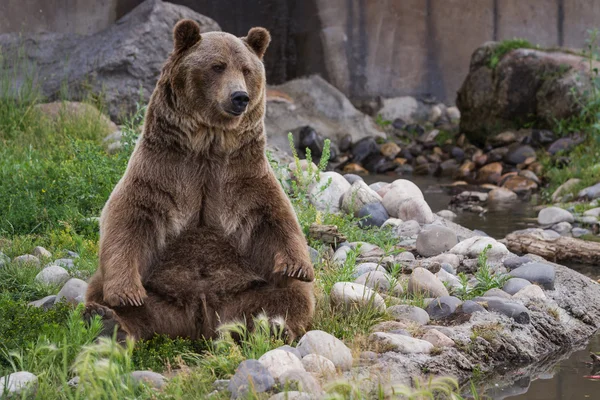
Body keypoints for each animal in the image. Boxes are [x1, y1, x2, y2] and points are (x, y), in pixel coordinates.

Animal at [86, 19, 316, 340]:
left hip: (245, 290)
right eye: (217, 66)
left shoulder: (243, 176)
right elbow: (128, 219)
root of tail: (199, 318)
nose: (239, 97)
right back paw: (107, 320)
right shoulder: (161, 172)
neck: (208, 144)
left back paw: (273, 326)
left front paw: (298, 267)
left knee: (291, 296)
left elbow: (275, 217)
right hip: (159, 290)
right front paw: (126, 294)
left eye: (246, 69)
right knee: (100, 289)